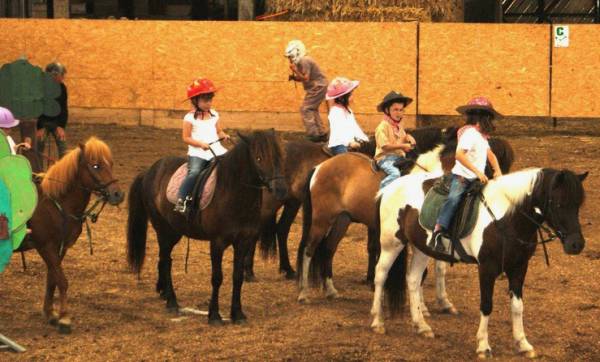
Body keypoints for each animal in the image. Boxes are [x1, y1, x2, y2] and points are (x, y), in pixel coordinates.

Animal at [16, 138, 123, 334]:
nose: (118, 194)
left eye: (110, 164)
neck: (55, 203)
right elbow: (62, 281)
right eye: (95, 165)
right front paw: (65, 318)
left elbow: (52, 279)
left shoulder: (60, 247)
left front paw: (50, 313)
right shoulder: (45, 246)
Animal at [125, 131, 288, 326]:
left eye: (280, 156)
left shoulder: (243, 241)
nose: (281, 190)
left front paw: (237, 314)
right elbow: (217, 278)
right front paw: (214, 315)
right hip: (165, 231)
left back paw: (163, 292)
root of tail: (149, 171)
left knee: (163, 260)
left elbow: (237, 277)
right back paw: (172, 302)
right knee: (166, 261)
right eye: (258, 158)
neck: (233, 192)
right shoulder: (217, 243)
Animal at [372, 168, 588, 360]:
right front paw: (483, 346)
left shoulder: (519, 268)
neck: (507, 219)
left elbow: (518, 306)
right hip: (392, 243)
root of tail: (390, 187)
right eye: (559, 204)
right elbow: (486, 305)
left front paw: (523, 344)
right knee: (380, 275)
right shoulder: (487, 268)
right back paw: (377, 322)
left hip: (422, 248)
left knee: (413, 280)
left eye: (578, 205)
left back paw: (421, 326)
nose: (576, 244)